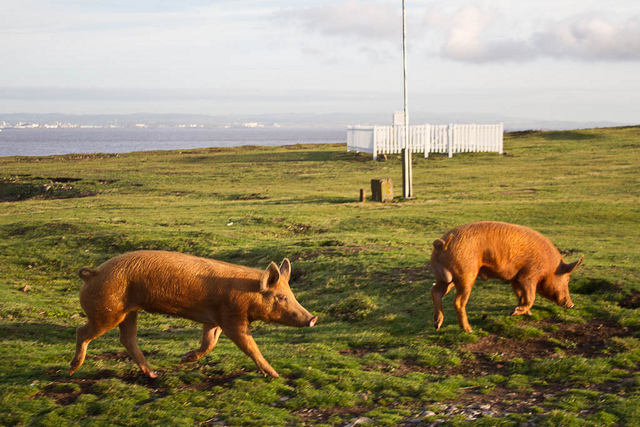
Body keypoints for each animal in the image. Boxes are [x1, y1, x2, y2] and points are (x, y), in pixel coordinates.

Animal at [70, 252, 318, 380]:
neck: (248, 295)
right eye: (281, 298)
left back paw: (153, 374)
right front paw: (275, 375)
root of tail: (93, 274)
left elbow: (209, 342)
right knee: (82, 331)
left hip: (130, 311)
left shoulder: (214, 320)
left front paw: (185, 358)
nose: (312, 318)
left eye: (292, 295)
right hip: (108, 312)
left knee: (127, 339)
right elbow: (250, 346)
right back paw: (73, 369)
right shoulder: (232, 318)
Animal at [430, 222, 584, 336]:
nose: (572, 305)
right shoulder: (528, 275)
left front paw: (527, 313)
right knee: (458, 302)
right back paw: (469, 330)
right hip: (466, 274)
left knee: (435, 290)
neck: (549, 266)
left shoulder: (515, 278)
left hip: (447, 278)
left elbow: (520, 295)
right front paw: (513, 312)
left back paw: (437, 324)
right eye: (567, 279)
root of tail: (442, 244)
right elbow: (530, 297)